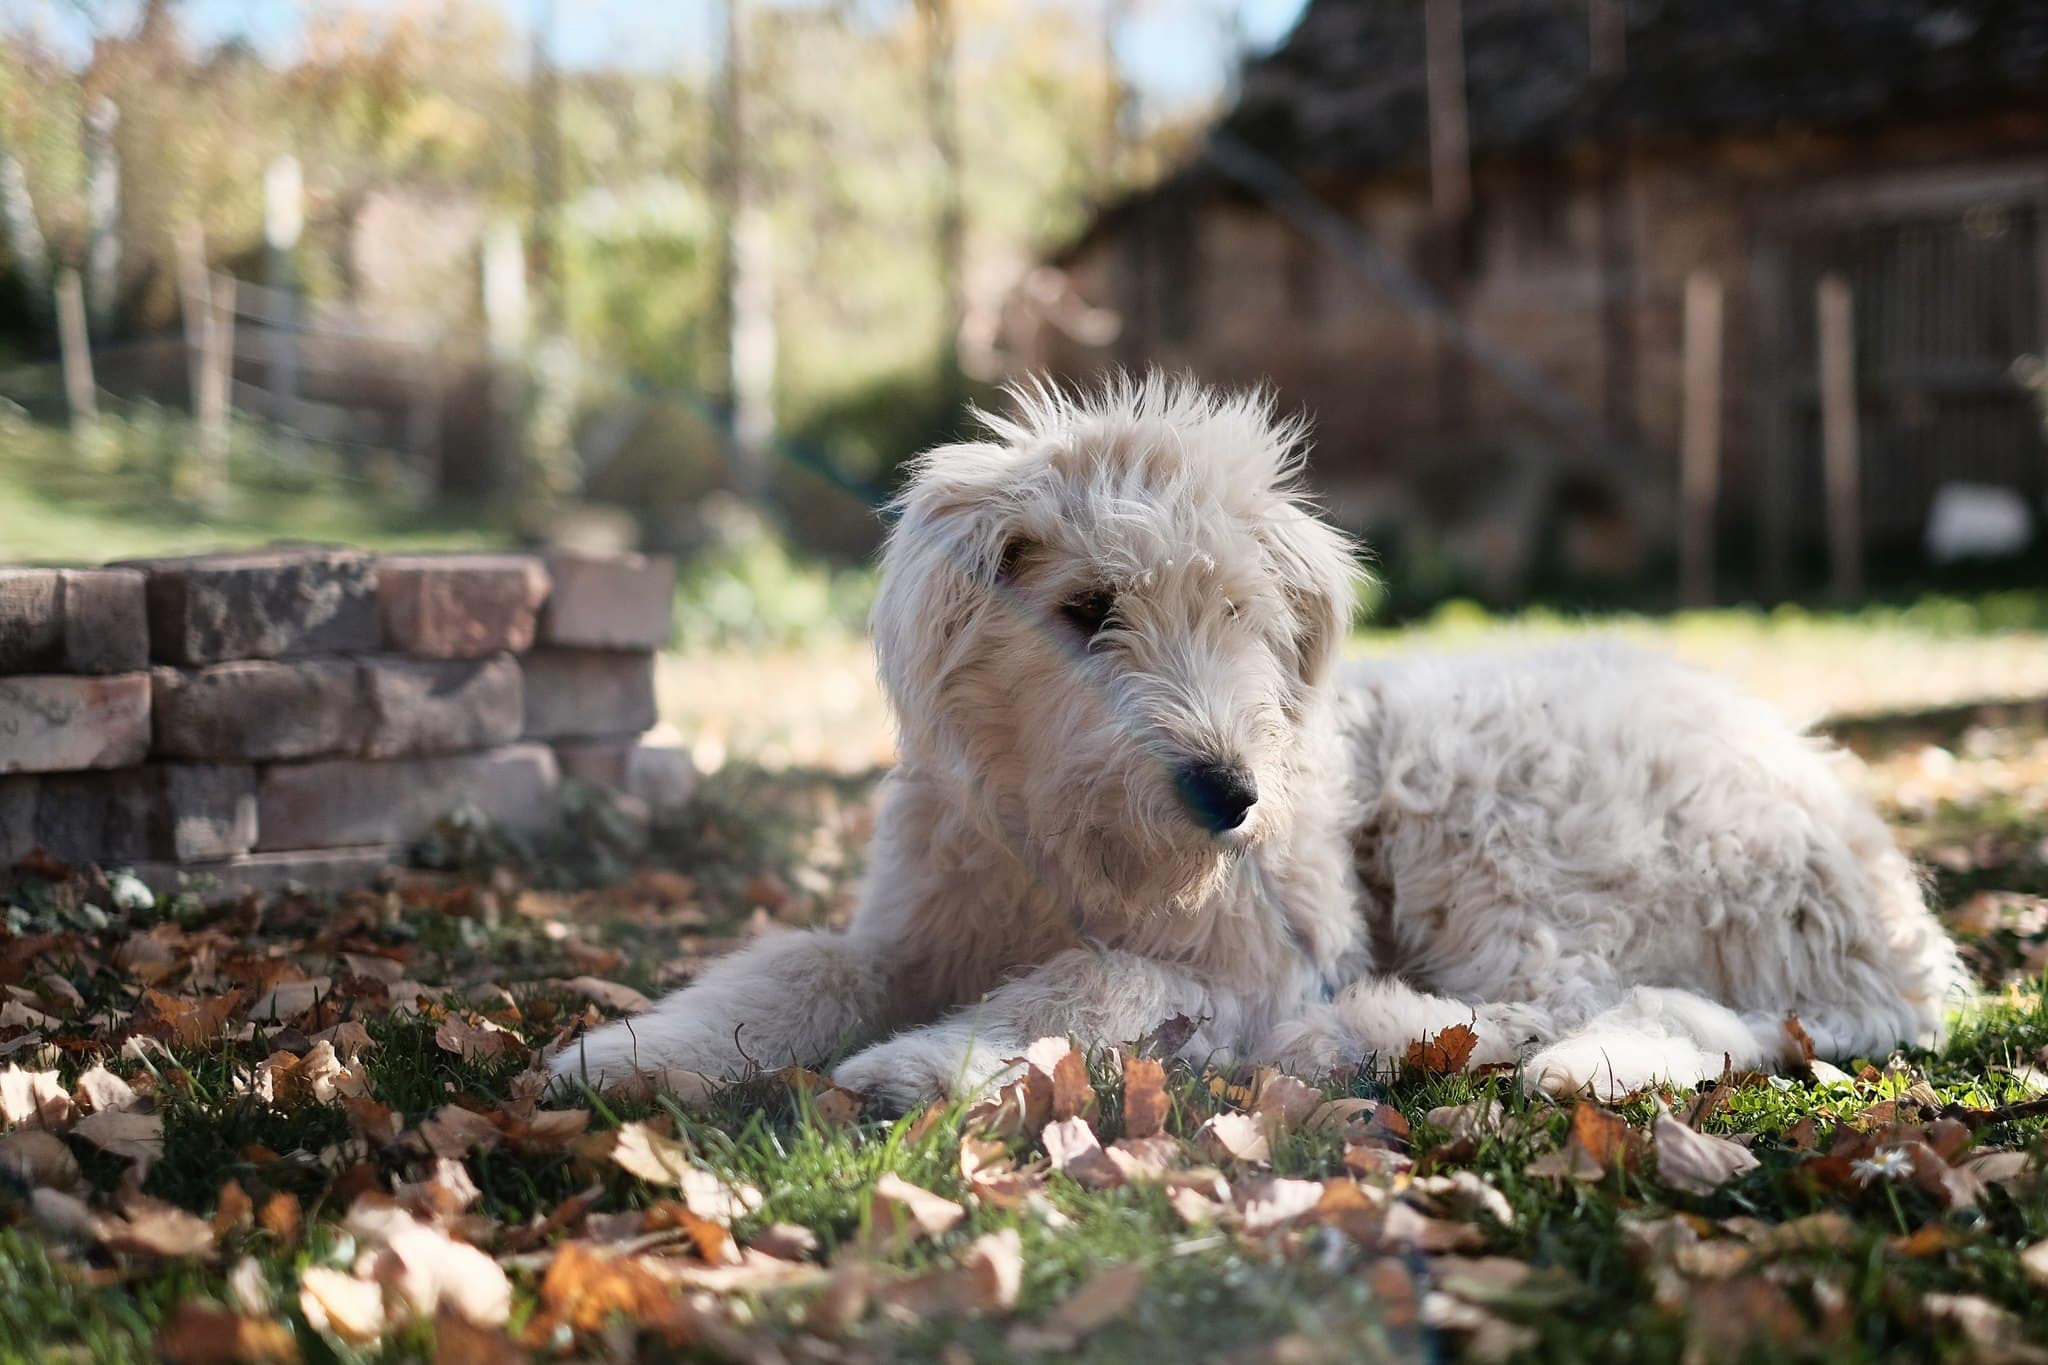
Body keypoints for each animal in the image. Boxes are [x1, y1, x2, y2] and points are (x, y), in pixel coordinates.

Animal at [548, 374, 1966, 1113]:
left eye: (1239, 611)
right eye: (1085, 610)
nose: (1228, 796)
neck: (1074, 847)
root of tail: (1886, 925)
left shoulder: (1245, 961)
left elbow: (1099, 979)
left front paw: (926, 1060)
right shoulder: (906, 934)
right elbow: (793, 965)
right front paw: (631, 1053)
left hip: (1496, 805)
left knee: (1576, 997)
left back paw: (1385, 1036)